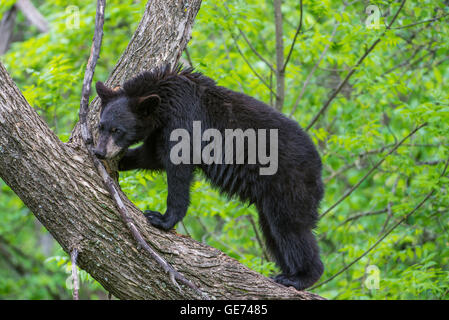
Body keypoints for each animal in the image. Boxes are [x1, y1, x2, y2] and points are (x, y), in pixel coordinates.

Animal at [94, 65, 324, 290]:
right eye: (101, 126)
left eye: (117, 130)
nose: (99, 152)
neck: (166, 100)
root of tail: (317, 164)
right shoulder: (160, 130)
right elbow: (152, 156)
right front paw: (122, 160)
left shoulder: (182, 121)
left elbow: (178, 170)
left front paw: (162, 218)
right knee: (273, 232)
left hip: (290, 183)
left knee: (289, 228)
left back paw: (300, 277)